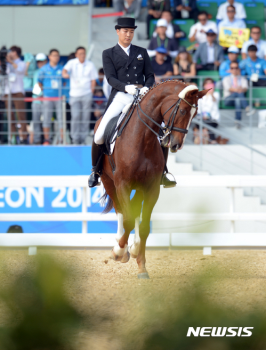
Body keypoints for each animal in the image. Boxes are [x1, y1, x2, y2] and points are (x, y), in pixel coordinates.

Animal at [95, 80, 208, 278]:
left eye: (194, 114)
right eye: (183, 111)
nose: (176, 145)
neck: (142, 138)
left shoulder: (152, 188)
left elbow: (144, 226)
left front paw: (141, 265)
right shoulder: (122, 185)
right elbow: (127, 219)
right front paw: (119, 251)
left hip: (139, 187)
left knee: (133, 210)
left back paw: (132, 248)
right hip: (108, 181)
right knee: (120, 210)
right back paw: (119, 246)